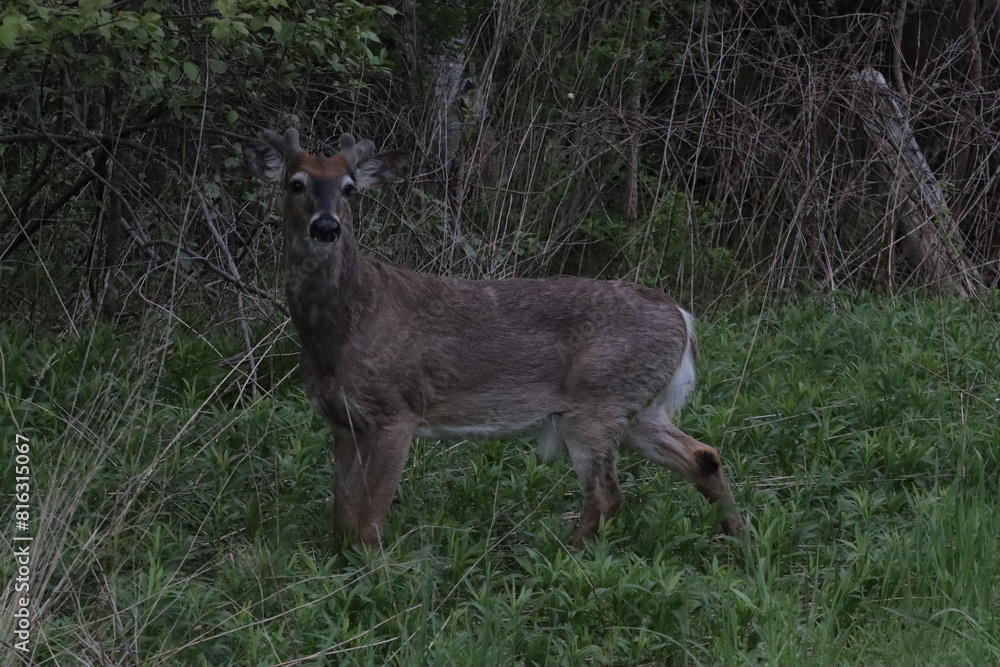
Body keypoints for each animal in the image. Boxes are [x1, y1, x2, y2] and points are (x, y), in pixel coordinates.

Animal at [242, 128, 745, 551]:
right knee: (704, 456)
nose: (327, 227)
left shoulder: (396, 412)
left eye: (349, 188)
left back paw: (562, 555)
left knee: (607, 496)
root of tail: (683, 317)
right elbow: (342, 517)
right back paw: (741, 545)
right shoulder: (341, 420)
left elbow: (368, 521)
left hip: (597, 401)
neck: (344, 328)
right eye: (295, 183)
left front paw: (377, 578)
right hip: (638, 407)